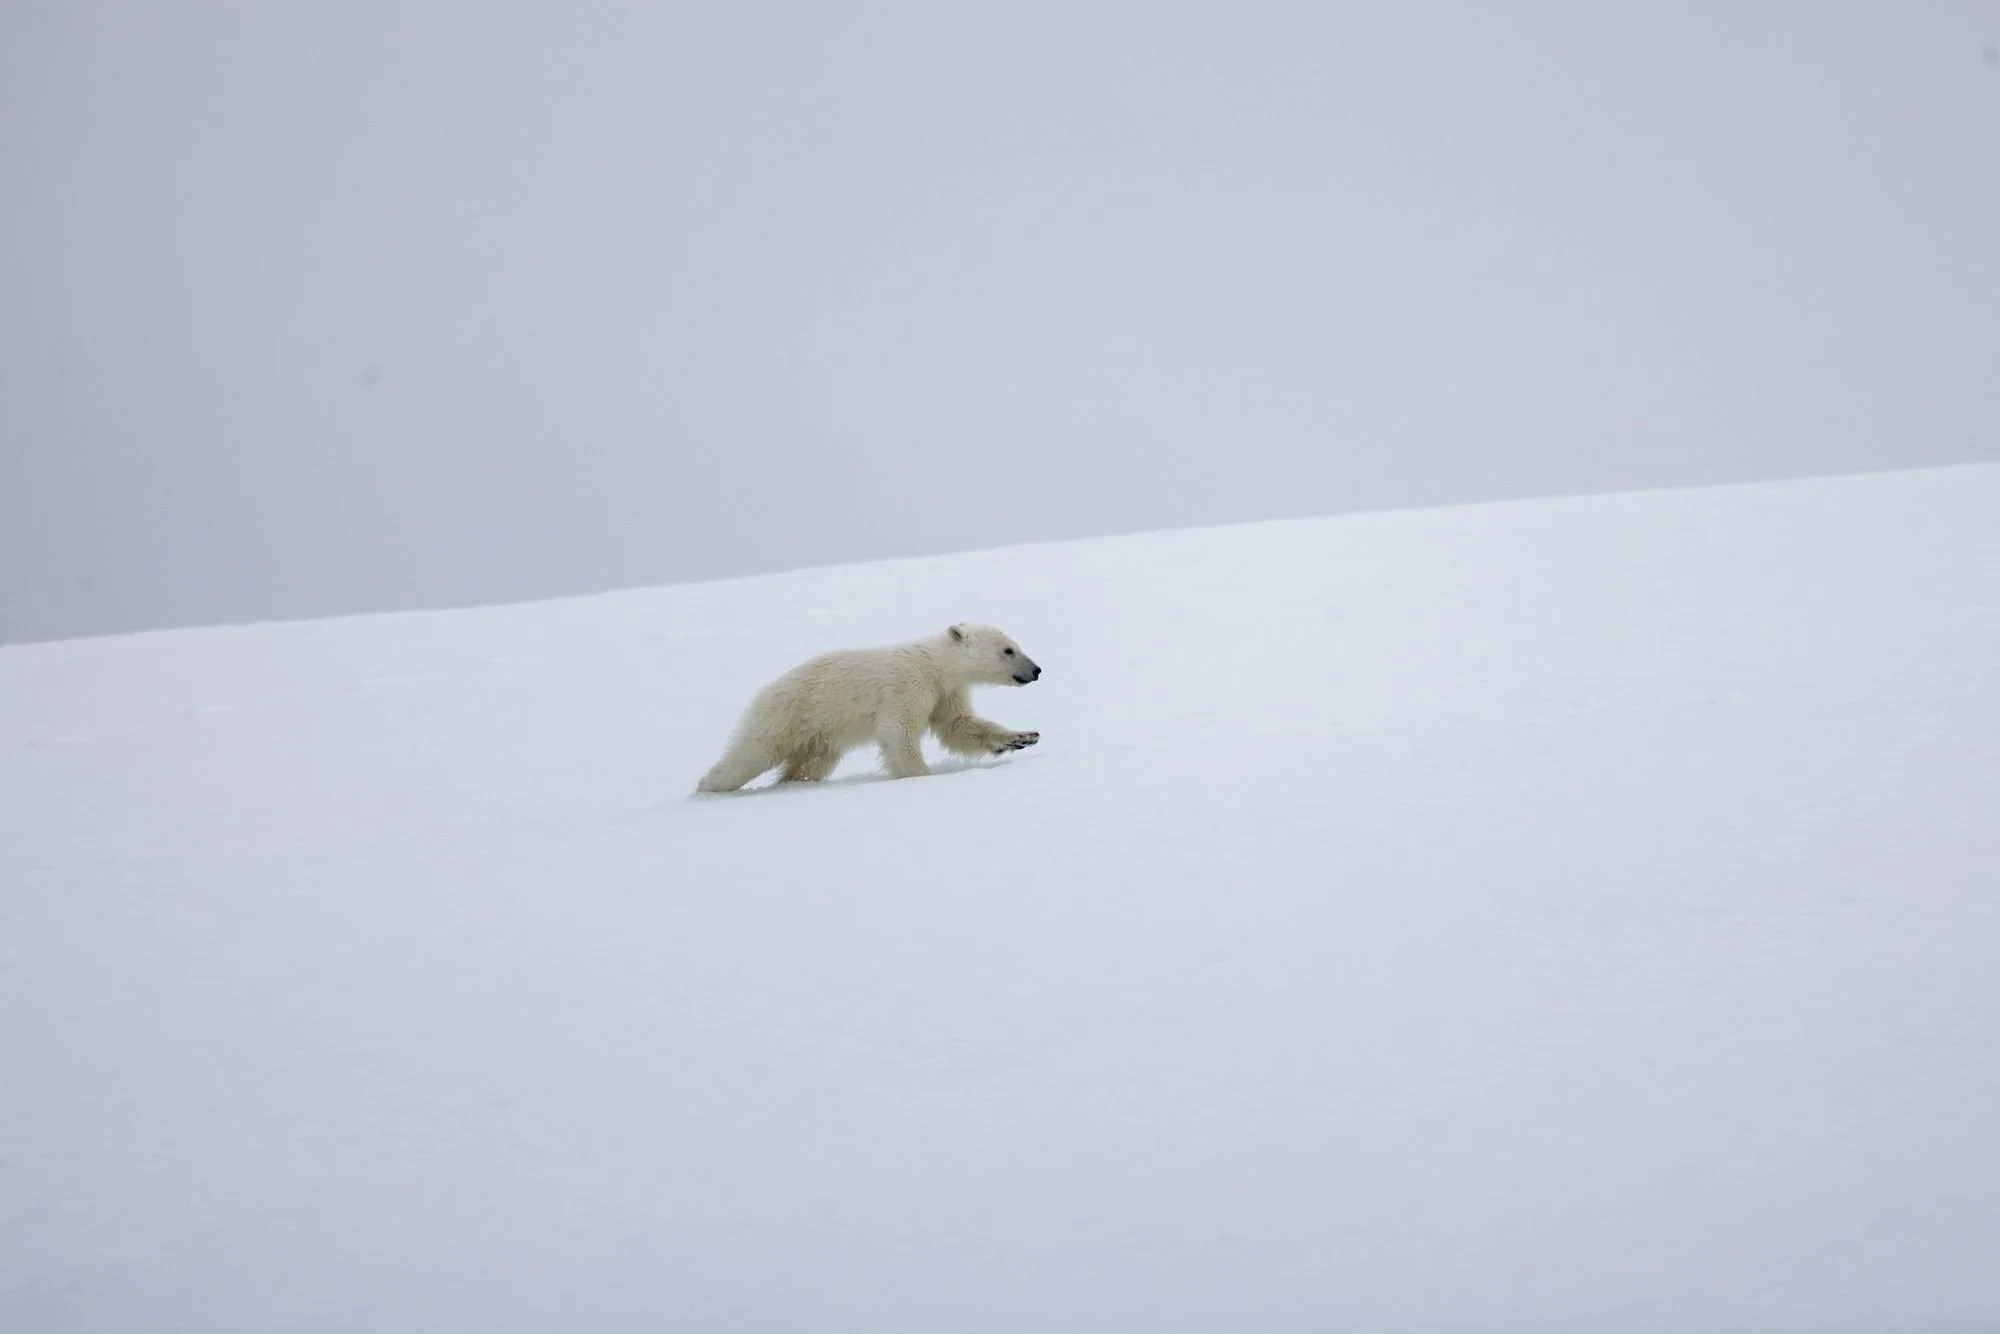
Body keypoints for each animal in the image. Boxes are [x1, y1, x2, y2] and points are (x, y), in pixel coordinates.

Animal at [695, 623, 1042, 793]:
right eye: (1009, 650)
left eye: (1016, 645)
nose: (1037, 669)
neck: (934, 664)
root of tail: (764, 692)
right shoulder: (906, 685)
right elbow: (899, 731)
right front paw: (921, 777)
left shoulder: (946, 692)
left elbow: (958, 726)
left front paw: (1023, 737)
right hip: (787, 714)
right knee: (752, 754)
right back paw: (708, 787)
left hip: (820, 736)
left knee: (811, 765)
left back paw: (790, 785)